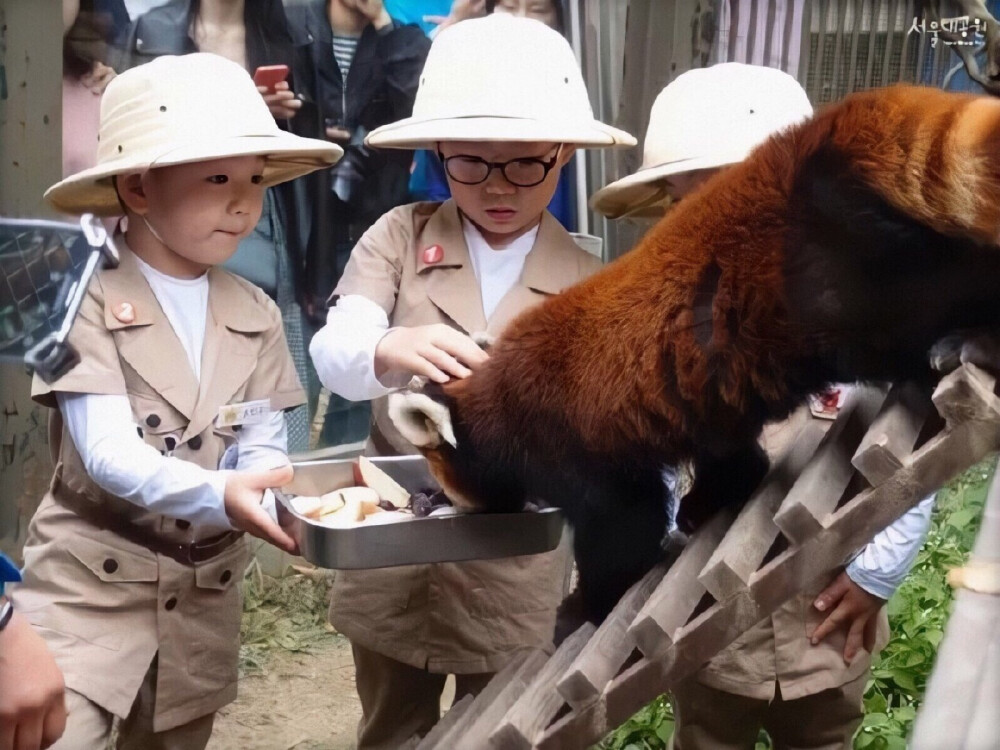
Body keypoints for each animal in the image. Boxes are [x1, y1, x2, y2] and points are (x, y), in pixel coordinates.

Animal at [386, 86, 1000, 624]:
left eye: (441, 473)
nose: (433, 498)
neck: (501, 402)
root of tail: (812, 141)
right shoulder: (702, 405)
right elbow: (731, 456)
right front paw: (711, 499)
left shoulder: (575, 447)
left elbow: (623, 526)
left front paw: (585, 606)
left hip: (850, 292)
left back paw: (973, 341)